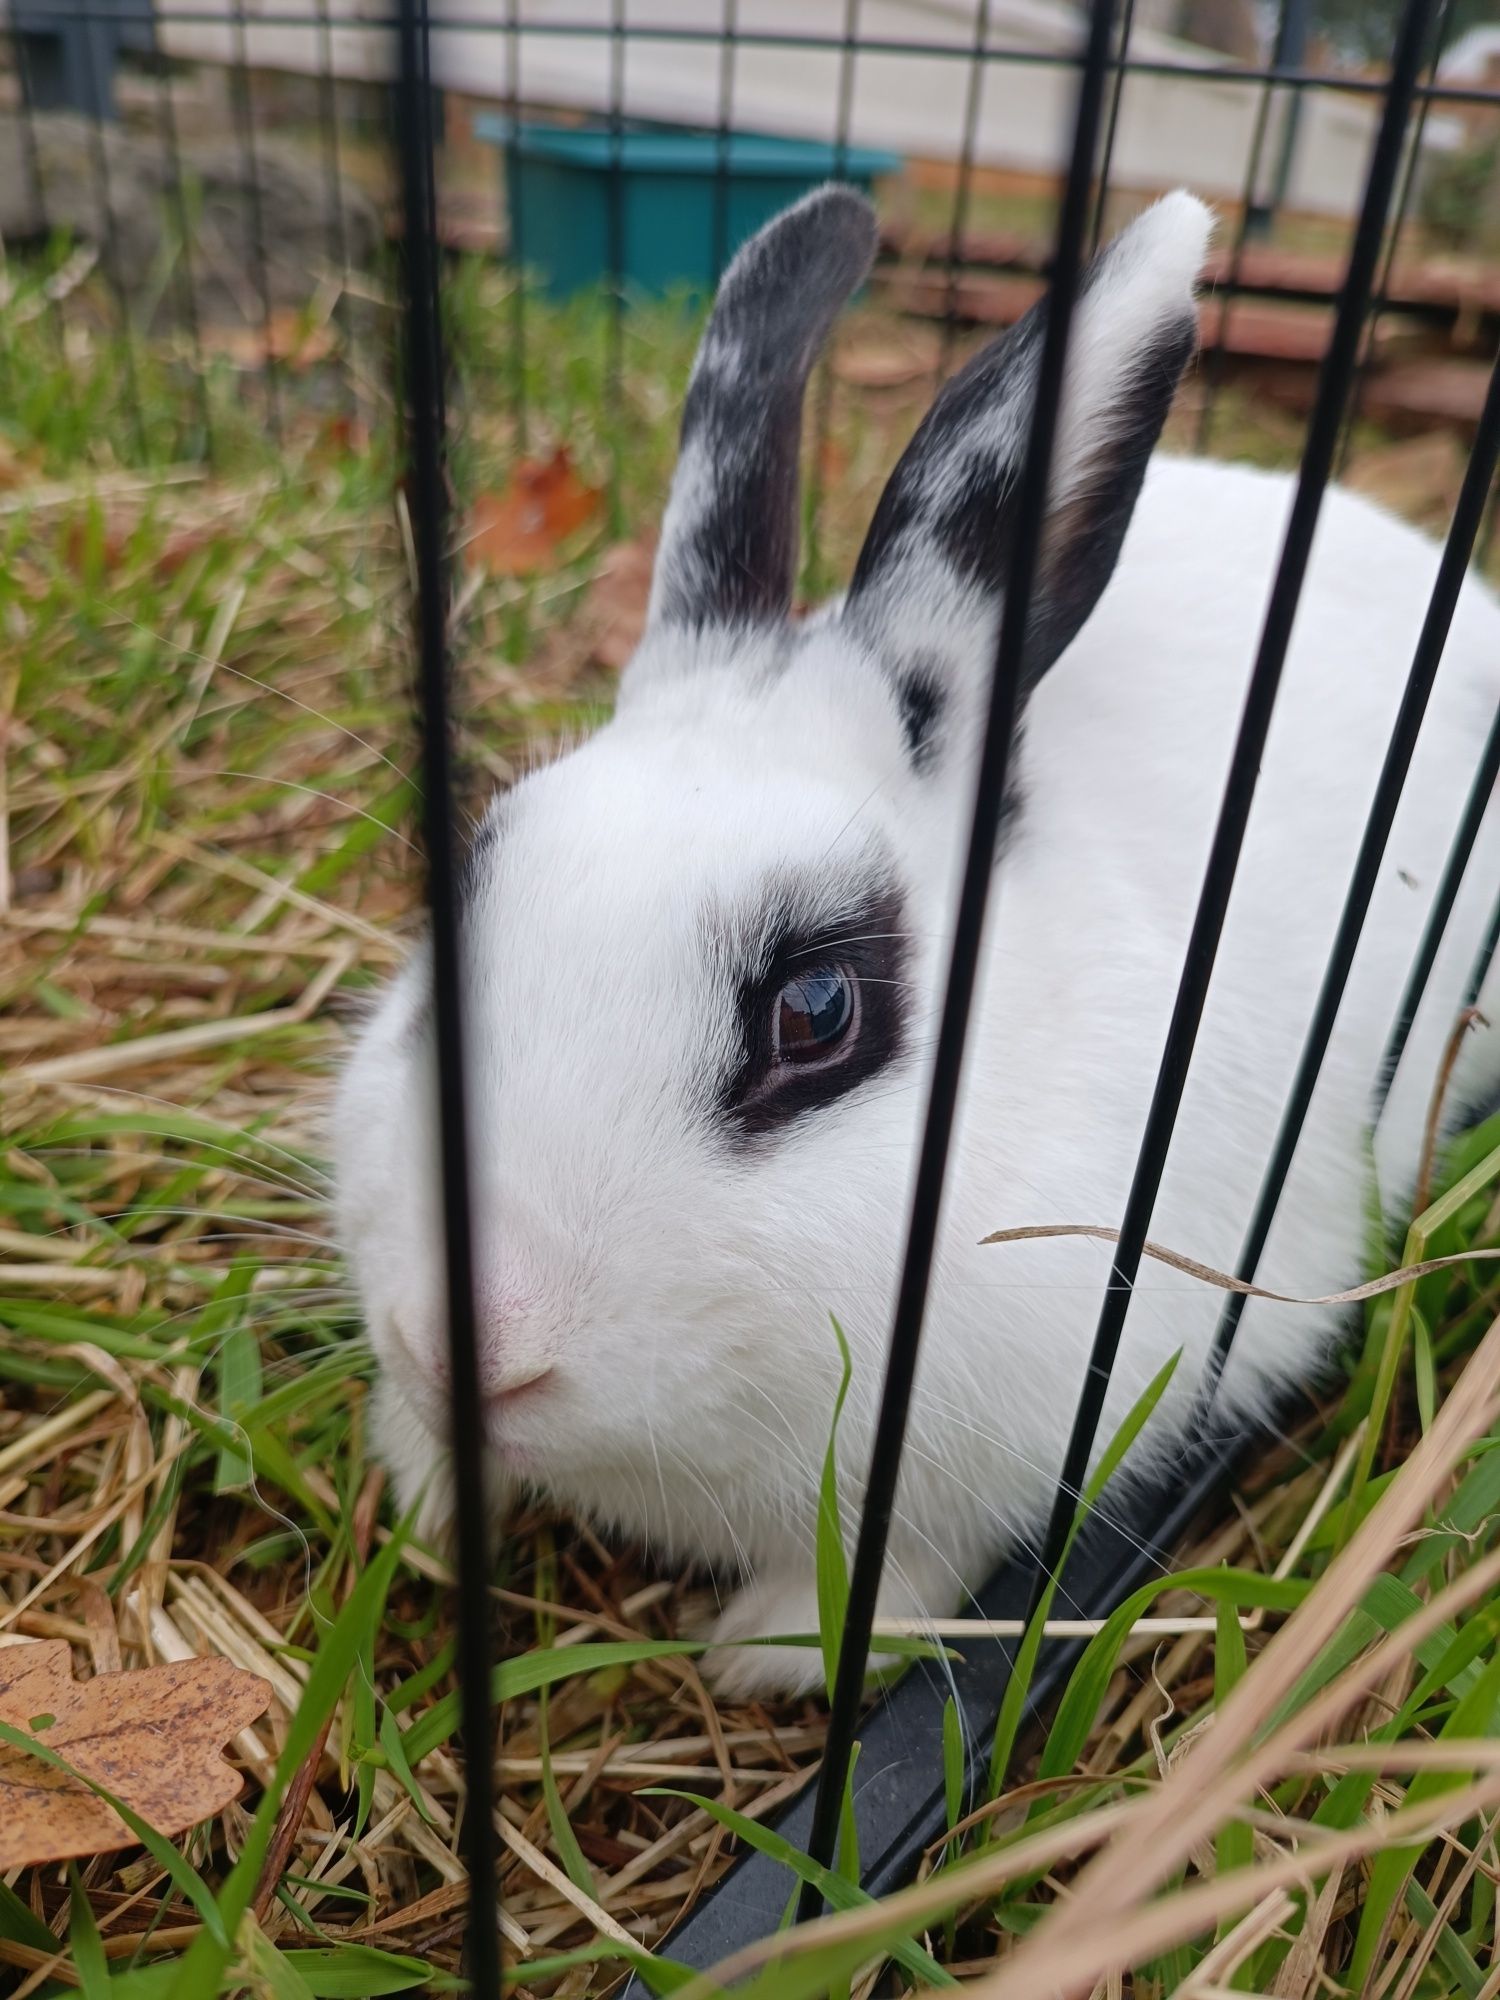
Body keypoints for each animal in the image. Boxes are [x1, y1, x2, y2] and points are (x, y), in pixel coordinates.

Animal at [338, 188, 1500, 1696]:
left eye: (819, 1010)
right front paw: (425, 1490)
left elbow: (915, 1564)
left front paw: (765, 1654)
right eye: (461, 903)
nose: (464, 1346)